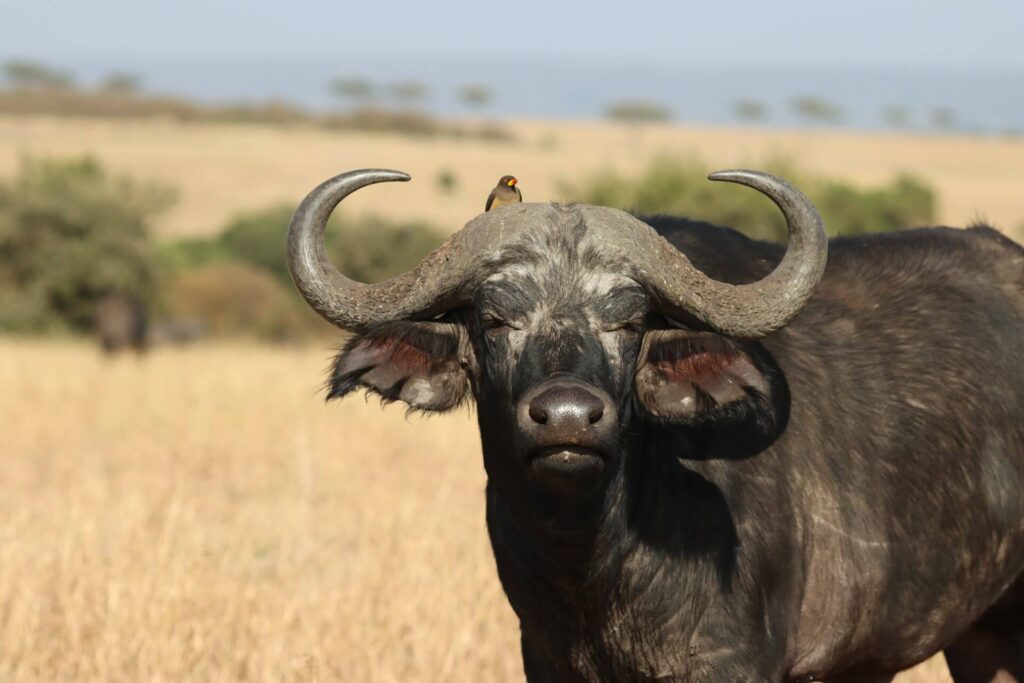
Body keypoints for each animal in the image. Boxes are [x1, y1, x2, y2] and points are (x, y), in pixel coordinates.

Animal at [287, 169, 1023, 682]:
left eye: (629, 322)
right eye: (494, 320)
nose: (567, 417)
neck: (598, 561)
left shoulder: (729, 662)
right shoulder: (545, 658)